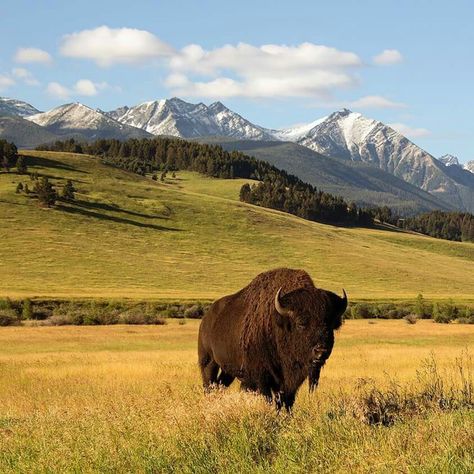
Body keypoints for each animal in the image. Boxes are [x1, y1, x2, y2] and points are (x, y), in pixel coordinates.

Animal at [198, 268, 346, 410]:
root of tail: (206, 318)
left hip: (228, 371)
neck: (280, 323)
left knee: (220, 384)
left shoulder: (288, 383)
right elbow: (268, 398)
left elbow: (286, 401)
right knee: (209, 384)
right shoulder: (262, 378)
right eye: (300, 323)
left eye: (331, 324)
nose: (321, 352)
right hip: (209, 362)